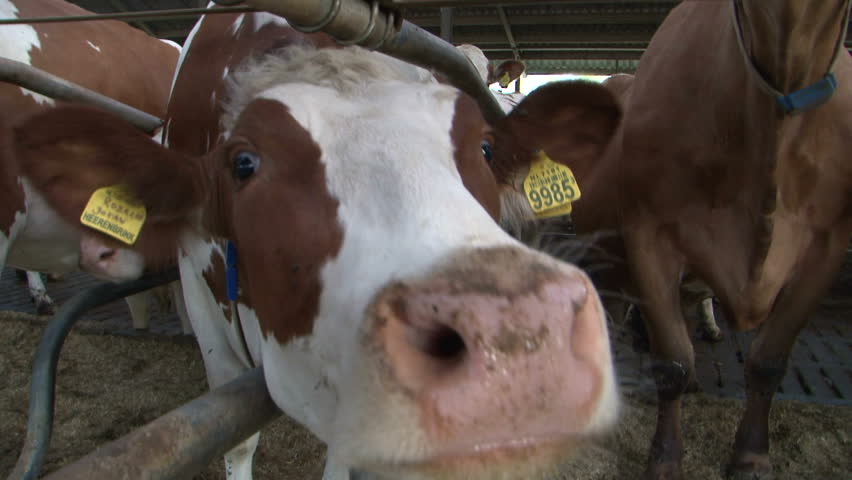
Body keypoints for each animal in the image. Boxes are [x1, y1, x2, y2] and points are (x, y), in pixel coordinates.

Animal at [499, 0, 852, 478]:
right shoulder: (649, 235)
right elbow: (671, 362)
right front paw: (665, 458)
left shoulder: (827, 245)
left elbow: (768, 361)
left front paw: (751, 456)